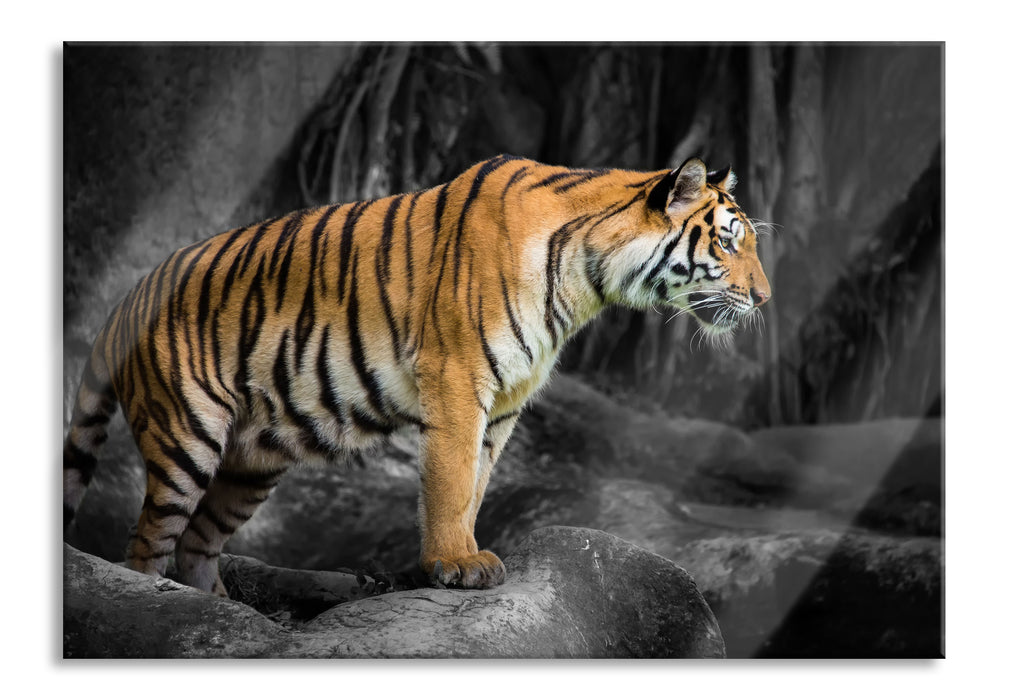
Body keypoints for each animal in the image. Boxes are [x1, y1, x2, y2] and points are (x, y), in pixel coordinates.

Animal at [63, 154, 771, 595]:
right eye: (728, 242)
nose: (765, 298)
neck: (587, 281)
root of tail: (127, 297)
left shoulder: (506, 401)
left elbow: (478, 482)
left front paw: (465, 552)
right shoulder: (458, 377)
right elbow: (451, 478)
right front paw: (456, 564)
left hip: (251, 464)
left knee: (196, 545)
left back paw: (218, 609)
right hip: (187, 435)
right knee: (147, 545)